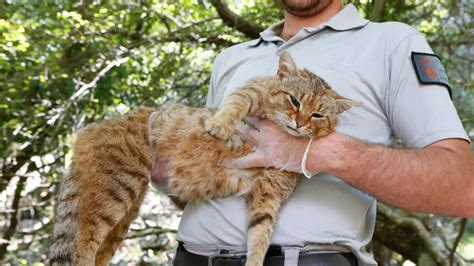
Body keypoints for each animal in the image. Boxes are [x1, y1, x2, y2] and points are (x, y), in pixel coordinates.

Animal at [49, 51, 360, 264]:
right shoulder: (251, 90)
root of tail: (91, 129)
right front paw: (219, 125)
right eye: (294, 100)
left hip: (123, 214)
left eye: (317, 115)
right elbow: (234, 105)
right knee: (84, 239)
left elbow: (261, 233)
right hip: (117, 187)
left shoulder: (268, 194)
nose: (299, 123)